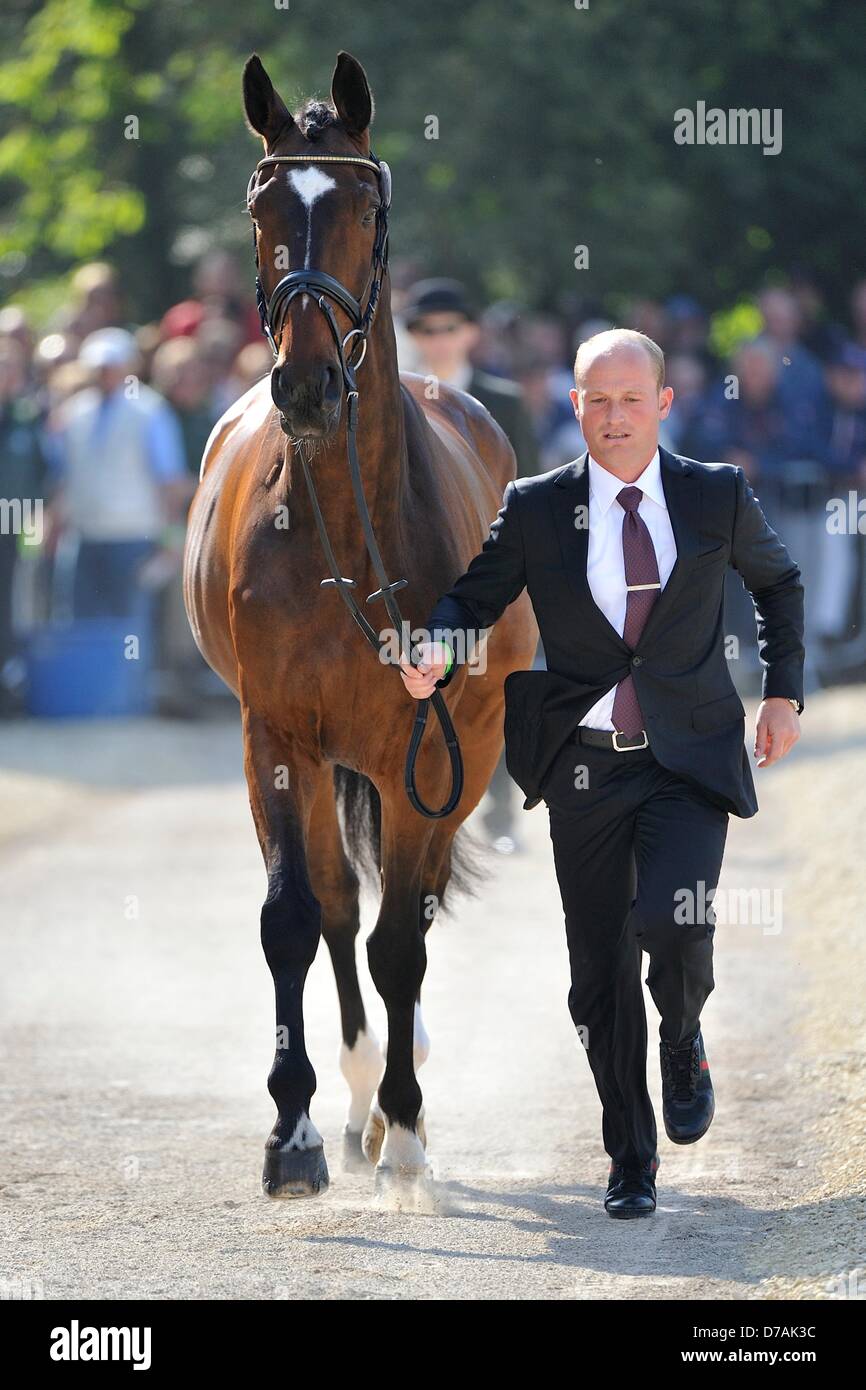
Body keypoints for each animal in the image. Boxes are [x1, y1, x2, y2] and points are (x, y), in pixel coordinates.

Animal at [180, 51, 536, 1195]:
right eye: (259, 210)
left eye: (364, 209)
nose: (303, 384)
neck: (344, 528)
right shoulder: (276, 736)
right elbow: (298, 920)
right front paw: (294, 1133)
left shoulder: (436, 745)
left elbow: (403, 943)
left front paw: (410, 1128)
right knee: (341, 910)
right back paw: (355, 1097)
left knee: (399, 918)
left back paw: (395, 1090)